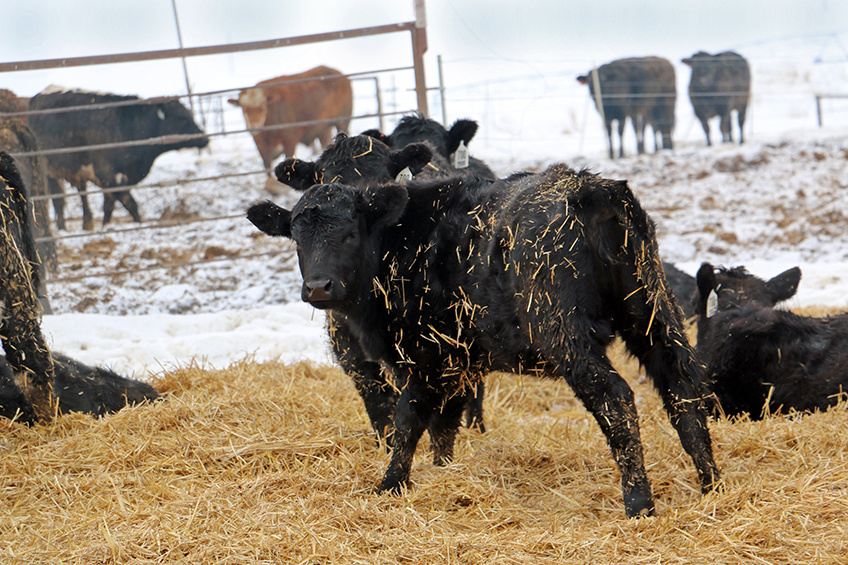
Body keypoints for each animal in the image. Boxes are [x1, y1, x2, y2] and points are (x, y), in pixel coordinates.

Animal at [28, 85, 209, 229]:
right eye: (183, 118)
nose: (205, 138)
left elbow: (109, 206)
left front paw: (105, 227)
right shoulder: (108, 175)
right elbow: (130, 203)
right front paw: (139, 225)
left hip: (78, 169)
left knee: (82, 193)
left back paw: (87, 223)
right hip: (49, 170)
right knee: (58, 200)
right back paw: (62, 228)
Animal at [248, 149, 720, 516]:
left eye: (349, 233)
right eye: (296, 236)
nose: (318, 287)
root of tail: (586, 188)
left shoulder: (423, 358)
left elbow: (408, 422)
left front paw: (391, 485)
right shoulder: (457, 362)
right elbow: (444, 427)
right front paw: (443, 473)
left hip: (566, 332)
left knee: (616, 398)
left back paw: (639, 503)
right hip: (653, 314)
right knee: (682, 388)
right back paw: (712, 484)